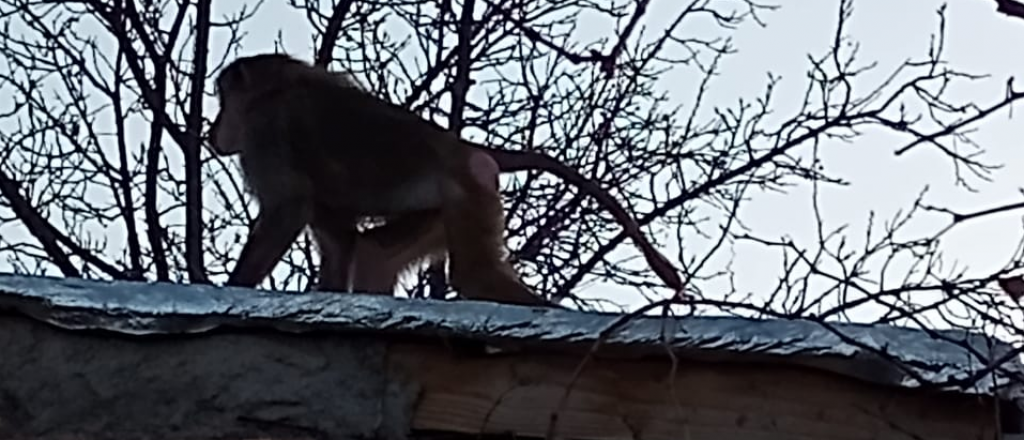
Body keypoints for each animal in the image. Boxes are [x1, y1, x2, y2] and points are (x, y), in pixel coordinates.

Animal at [209, 53, 549, 306]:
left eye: (224, 101)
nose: (214, 130)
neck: (276, 88)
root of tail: (466, 149)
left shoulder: (265, 130)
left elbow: (289, 207)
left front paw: (236, 286)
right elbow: (340, 241)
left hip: (469, 190)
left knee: (475, 275)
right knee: (375, 253)